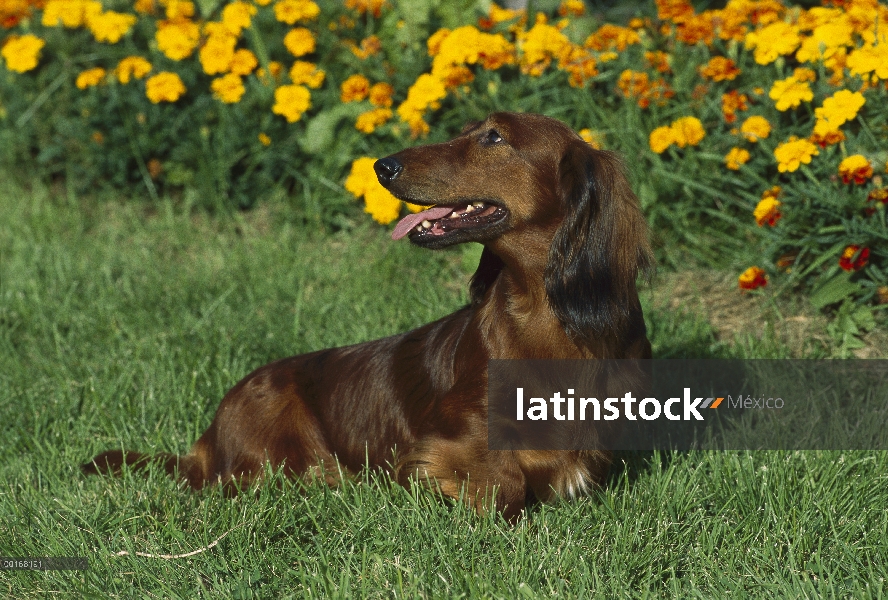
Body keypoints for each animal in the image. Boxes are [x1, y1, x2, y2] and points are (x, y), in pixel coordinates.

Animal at [83, 113, 652, 520]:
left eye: (494, 137)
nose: (383, 166)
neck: (545, 321)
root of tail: (209, 433)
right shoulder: (441, 444)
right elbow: (502, 486)